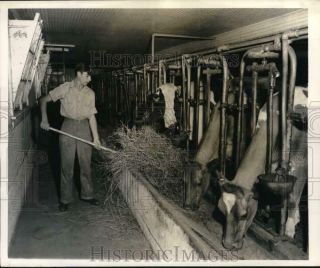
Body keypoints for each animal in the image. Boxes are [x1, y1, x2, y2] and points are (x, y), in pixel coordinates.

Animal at [218, 87, 308, 250]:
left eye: (244, 215)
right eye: (220, 210)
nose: (227, 244)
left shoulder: (300, 163)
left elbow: (292, 198)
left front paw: (289, 231)